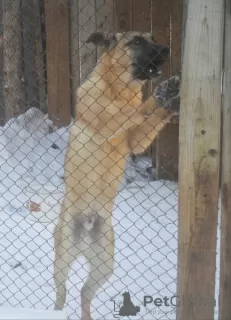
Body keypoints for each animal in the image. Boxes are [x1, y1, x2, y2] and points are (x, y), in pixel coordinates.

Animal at [53, 30, 180, 320]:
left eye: (151, 38)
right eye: (136, 41)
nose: (166, 49)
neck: (119, 90)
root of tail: (88, 227)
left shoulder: (136, 141)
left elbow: (147, 118)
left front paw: (168, 99)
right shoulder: (107, 121)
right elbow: (131, 111)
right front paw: (159, 94)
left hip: (104, 266)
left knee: (84, 293)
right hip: (63, 258)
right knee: (61, 290)